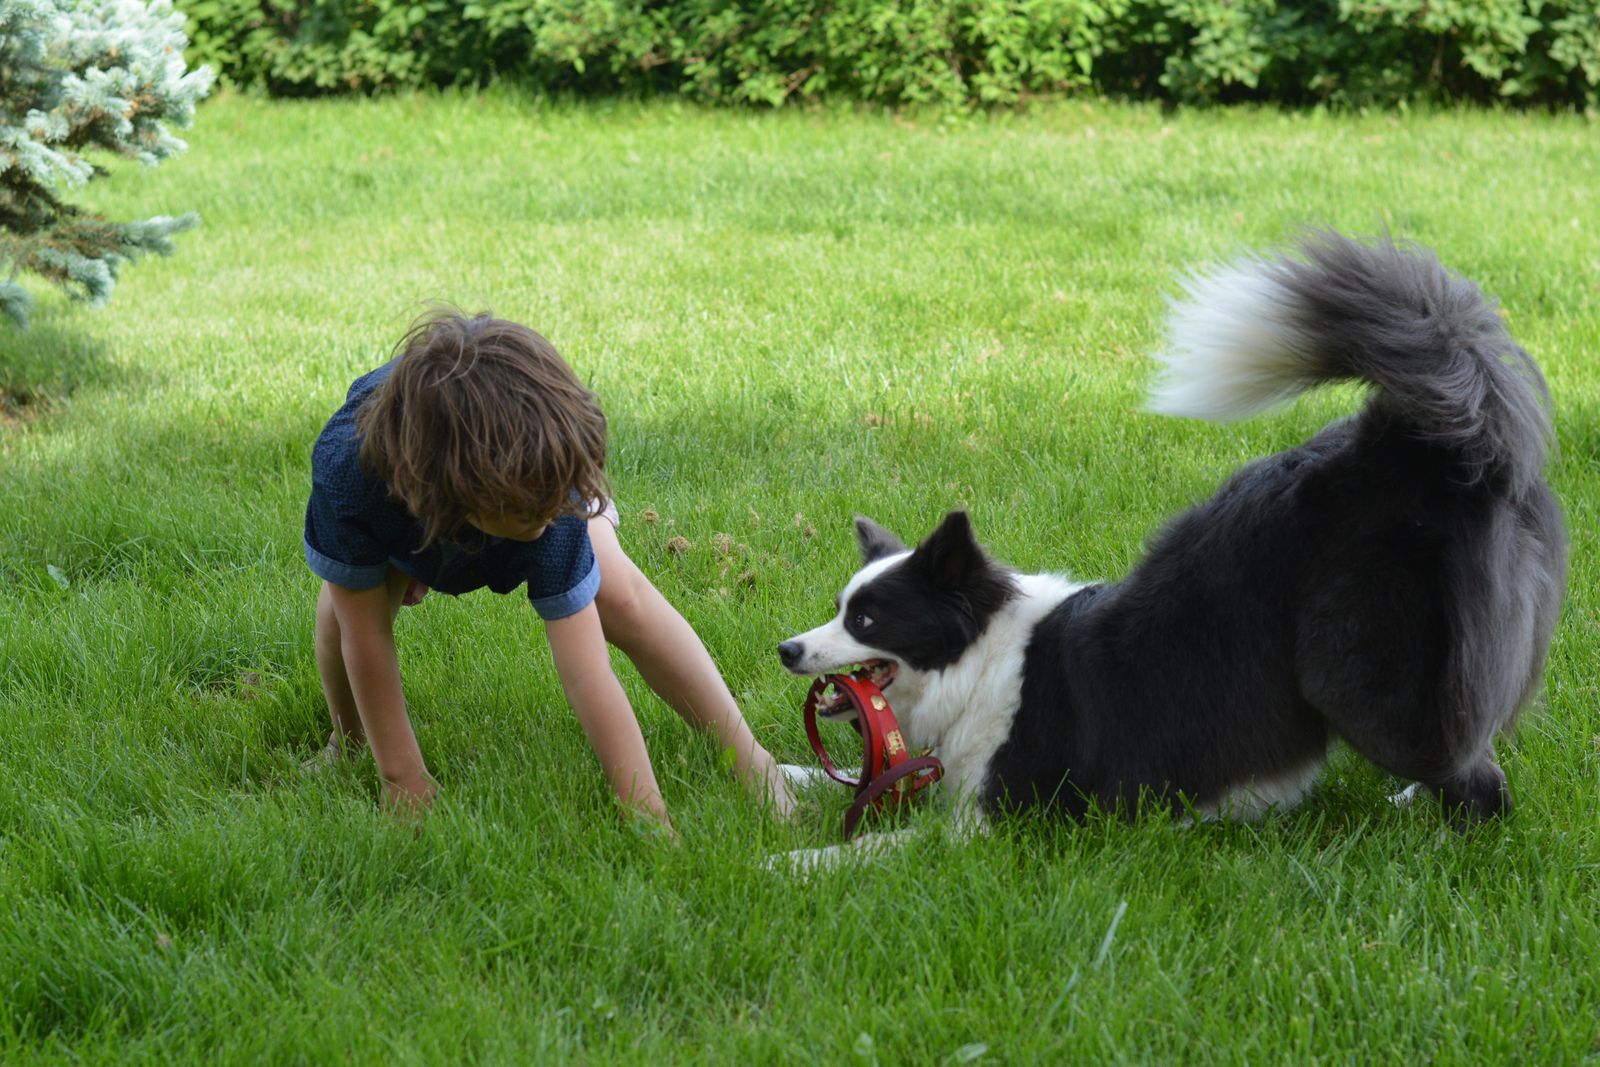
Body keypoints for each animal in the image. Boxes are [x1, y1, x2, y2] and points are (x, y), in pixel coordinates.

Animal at [776, 232, 1565, 859]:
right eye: (838, 607)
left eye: (867, 619)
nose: (786, 648)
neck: (981, 658)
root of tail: (1421, 444)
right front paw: (784, 780)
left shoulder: (1004, 822)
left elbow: (875, 844)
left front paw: (789, 863)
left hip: (1357, 670)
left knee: (1481, 782)